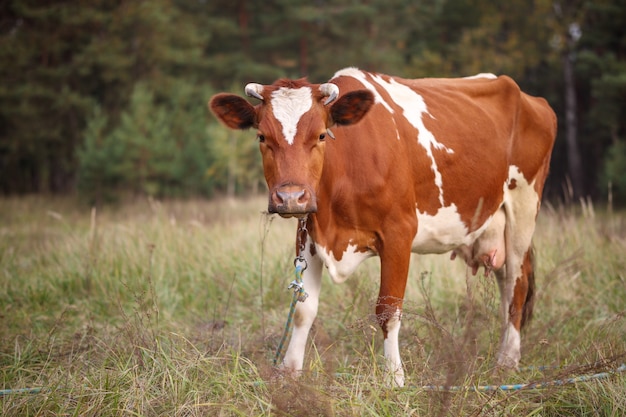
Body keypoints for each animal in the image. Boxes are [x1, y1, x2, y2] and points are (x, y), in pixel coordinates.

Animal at [210, 66, 556, 386]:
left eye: (321, 135)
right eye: (262, 137)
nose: (291, 197)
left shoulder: (399, 233)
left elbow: (388, 310)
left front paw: (394, 379)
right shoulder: (307, 233)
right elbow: (302, 309)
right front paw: (290, 372)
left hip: (524, 207)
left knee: (516, 285)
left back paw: (507, 362)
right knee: (506, 283)